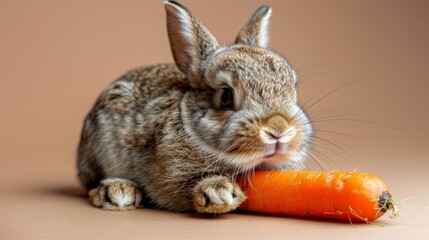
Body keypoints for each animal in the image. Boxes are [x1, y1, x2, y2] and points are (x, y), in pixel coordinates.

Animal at [77, 0, 310, 214]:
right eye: (225, 96)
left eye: (293, 88)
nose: (279, 130)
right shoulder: (171, 176)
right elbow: (183, 187)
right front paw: (220, 193)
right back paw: (118, 191)